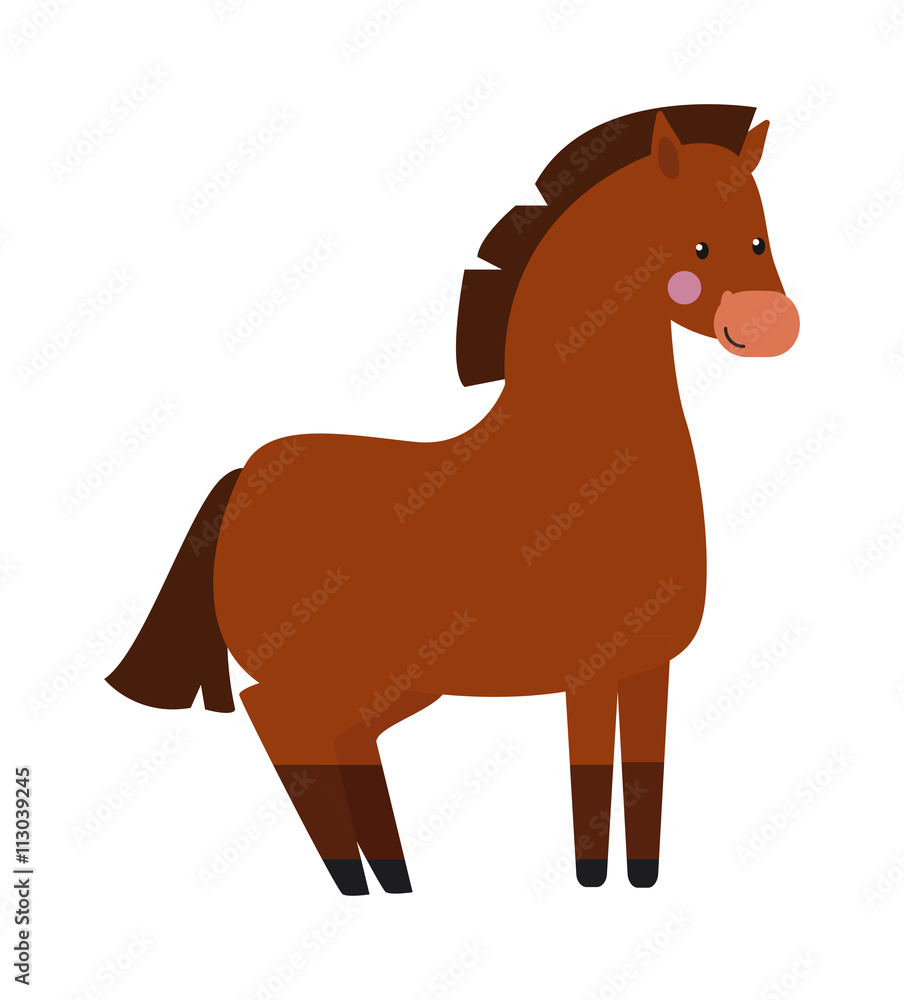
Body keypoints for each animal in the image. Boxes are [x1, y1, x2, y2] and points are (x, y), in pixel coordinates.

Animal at [107, 104, 800, 895]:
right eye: (701, 245)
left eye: (760, 237)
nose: (772, 325)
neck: (586, 448)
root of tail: (245, 474)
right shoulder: (590, 671)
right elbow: (590, 778)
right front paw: (592, 884)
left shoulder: (647, 667)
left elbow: (645, 778)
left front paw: (644, 883)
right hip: (336, 672)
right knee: (281, 722)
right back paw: (358, 879)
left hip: (385, 680)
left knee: (338, 740)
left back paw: (391, 877)